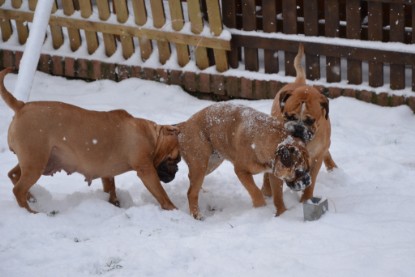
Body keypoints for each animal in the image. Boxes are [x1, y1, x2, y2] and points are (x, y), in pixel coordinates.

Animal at [0, 68, 182, 212]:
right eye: (174, 159)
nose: (177, 169)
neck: (153, 137)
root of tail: (21, 106)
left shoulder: (107, 173)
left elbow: (110, 189)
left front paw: (114, 203)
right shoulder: (146, 170)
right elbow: (161, 193)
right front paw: (173, 208)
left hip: (35, 160)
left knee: (13, 175)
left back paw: (31, 199)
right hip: (35, 162)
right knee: (18, 189)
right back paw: (30, 211)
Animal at [176, 102, 312, 219]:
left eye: (308, 169)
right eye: (299, 171)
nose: (308, 181)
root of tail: (184, 125)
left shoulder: (274, 174)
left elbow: (278, 197)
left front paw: (282, 213)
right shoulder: (241, 171)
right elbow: (255, 191)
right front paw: (261, 209)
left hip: (211, 163)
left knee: (192, 179)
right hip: (200, 164)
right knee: (191, 192)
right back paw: (196, 213)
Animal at [264, 43, 338, 216]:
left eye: (310, 120)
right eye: (289, 116)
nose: (297, 128)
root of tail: (299, 81)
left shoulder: (316, 159)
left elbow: (311, 182)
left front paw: (306, 200)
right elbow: (277, 190)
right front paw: (281, 213)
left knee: (327, 152)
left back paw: (334, 169)